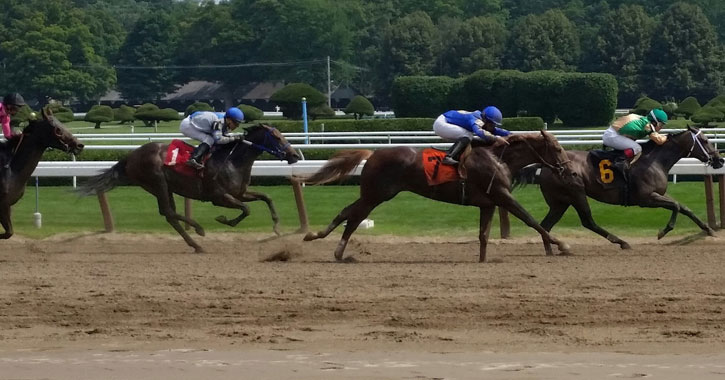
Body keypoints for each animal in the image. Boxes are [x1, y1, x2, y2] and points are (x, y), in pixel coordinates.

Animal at [0, 107, 84, 238]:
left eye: (62, 123)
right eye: (58, 129)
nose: (79, 145)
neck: (11, 168)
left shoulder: (7, 206)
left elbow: (9, 232)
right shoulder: (3, 205)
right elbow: (8, 232)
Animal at [76, 123, 296, 252]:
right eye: (276, 137)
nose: (294, 155)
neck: (233, 161)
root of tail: (130, 156)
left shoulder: (239, 193)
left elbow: (266, 197)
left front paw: (277, 226)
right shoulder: (218, 197)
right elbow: (246, 209)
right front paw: (224, 220)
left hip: (160, 187)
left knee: (168, 214)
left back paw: (196, 244)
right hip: (157, 182)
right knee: (169, 212)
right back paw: (198, 231)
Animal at [296, 131, 576, 262]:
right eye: (557, 148)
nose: (571, 171)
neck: (499, 158)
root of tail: (373, 153)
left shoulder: (488, 202)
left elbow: (483, 235)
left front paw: (483, 260)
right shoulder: (502, 195)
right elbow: (531, 220)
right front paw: (561, 245)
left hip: (375, 194)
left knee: (350, 214)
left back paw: (329, 245)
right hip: (377, 194)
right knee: (352, 216)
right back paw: (327, 244)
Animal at [516, 125, 724, 249]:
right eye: (705, 141)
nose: (719, 159)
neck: (654, 161)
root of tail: (545, 166)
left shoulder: (655, 196)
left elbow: (685, 208)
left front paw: (709, 230)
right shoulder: (647, 198)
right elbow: (677, 206)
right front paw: (662, 232)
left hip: (560, 202)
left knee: (546, 225)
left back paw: (551, 251)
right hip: (576, 193)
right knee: (588, 222)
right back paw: (622, 242)